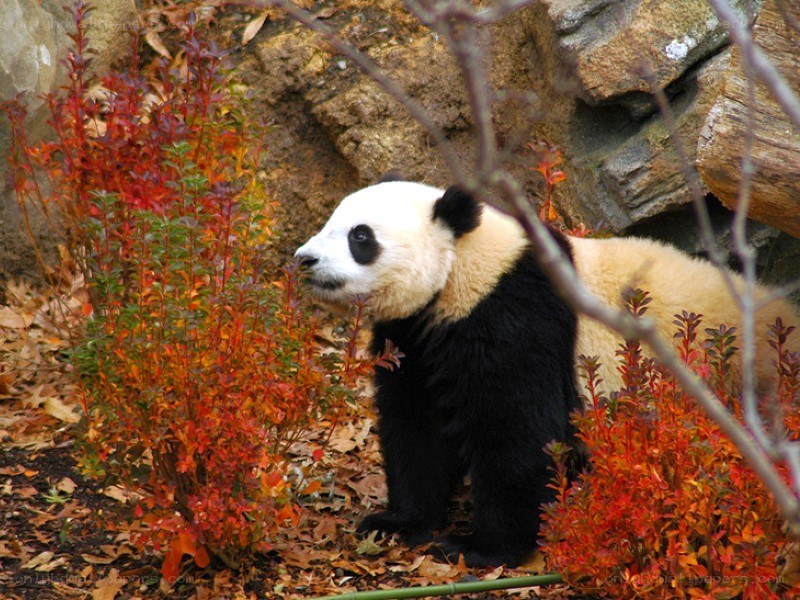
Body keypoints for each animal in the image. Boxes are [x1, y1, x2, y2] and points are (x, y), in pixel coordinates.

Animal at [294, 180, 799, 568]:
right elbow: (416, 427)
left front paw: (480, 547)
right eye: (328, 222)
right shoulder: (415, 337)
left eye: (361, 236)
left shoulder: (515, 317)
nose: (304, 259)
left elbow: (518, 431)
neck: (464, 266)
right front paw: (398, 523)